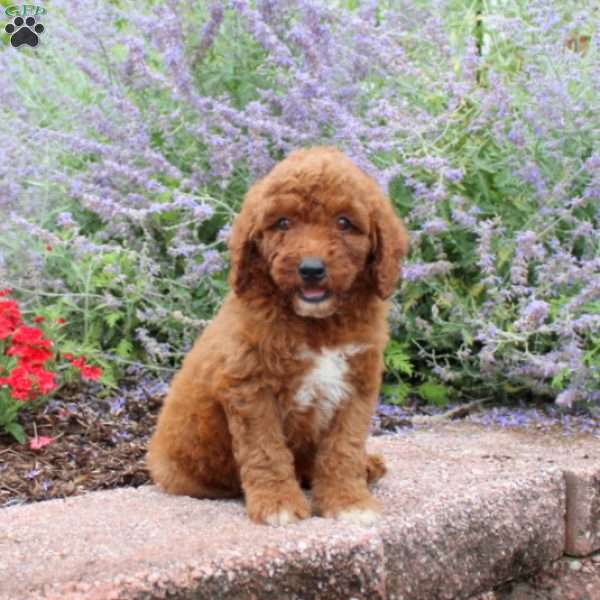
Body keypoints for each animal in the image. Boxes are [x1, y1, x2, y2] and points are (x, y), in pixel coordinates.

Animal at [146, 146, 408, 524]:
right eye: (283, 223)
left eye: (344, 222)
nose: (311, 269)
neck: (316, 325)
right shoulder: (250, 386)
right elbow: (266, 451)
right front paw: (278, 504)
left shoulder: (357, 382)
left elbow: (343, 449)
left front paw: (349, 501)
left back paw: (367, 466)